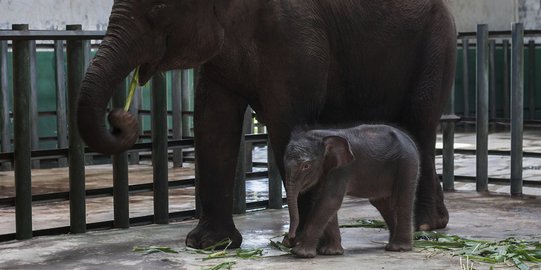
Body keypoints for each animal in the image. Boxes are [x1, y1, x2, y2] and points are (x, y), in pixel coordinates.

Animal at [284, 124, 420, 258]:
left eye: (306, 166)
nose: (289, 239)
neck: (321, 136)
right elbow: (322, 200)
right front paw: (331, 252)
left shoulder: (343, 169)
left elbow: (330, 200)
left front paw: (301, 253)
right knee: (383, 204)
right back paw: (390, 245)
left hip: (407, 163)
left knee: (401, 201)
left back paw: (398, 248)